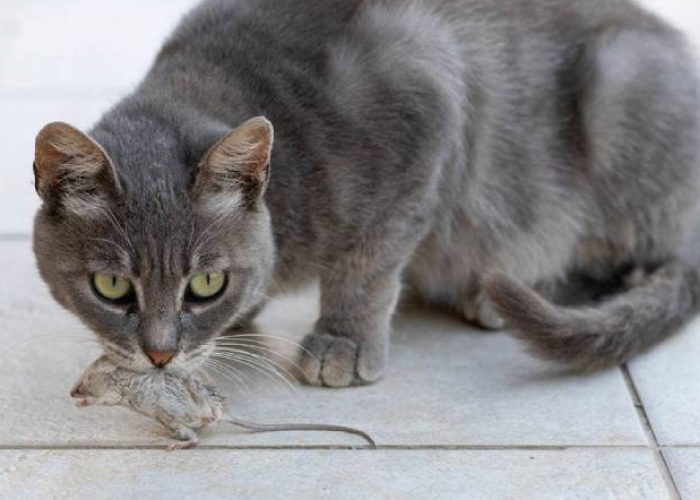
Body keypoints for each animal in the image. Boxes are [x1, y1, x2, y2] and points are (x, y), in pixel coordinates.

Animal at [31, 0, 700, 386]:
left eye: (205, 283)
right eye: (111, 287)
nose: (160, 355)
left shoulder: (426, 104)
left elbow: (369, 262)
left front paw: (343, 342)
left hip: (621, 90)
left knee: (632, 258)